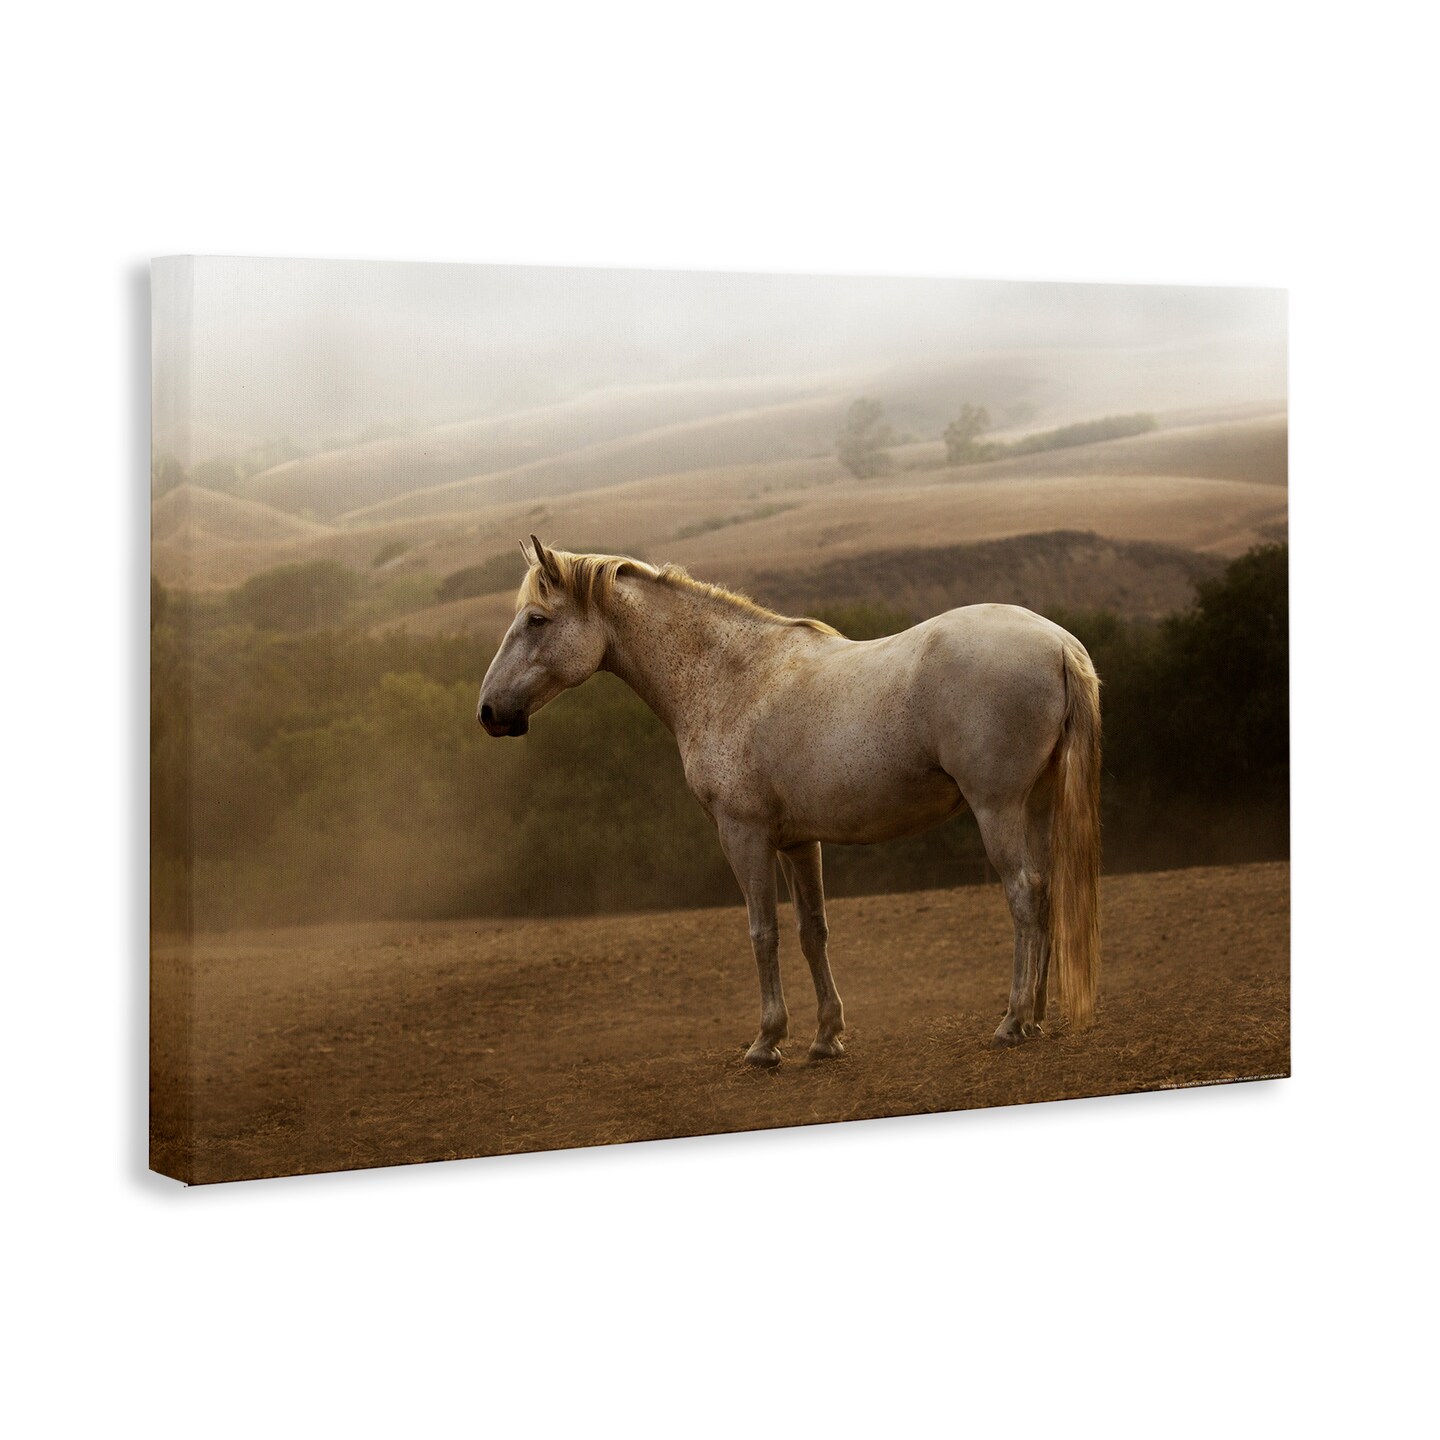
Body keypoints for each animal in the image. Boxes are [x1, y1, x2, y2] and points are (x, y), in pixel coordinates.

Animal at [478, 536, 1102, 1066]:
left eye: (537, 620)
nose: (488, 712)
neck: (729, 677)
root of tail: (1058, 644)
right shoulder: (800, 841)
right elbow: (812, 931)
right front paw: (826, 1037)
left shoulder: (743, 835)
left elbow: (763, 932)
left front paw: (767, 1041)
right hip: (1036, 804)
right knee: (1045, 892)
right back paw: (1035, 1016)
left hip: (998, 808)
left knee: (1023, 894)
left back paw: (1013, 1021)